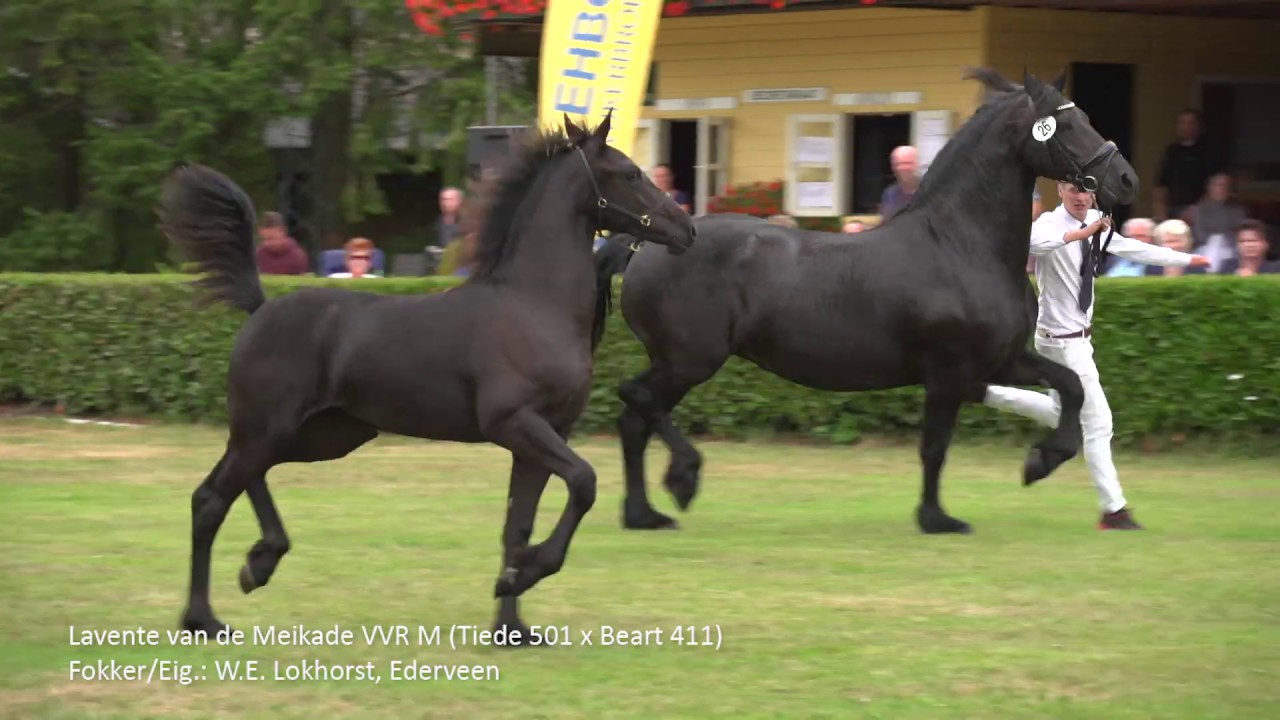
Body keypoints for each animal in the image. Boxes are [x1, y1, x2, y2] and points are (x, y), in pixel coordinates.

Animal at [158, 112, 697, 643]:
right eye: (630, 173)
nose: (687, 228)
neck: (533, 305)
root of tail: (260, 309)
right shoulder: (516, 424)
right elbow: (583, 483)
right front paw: (523, 573)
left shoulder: (543, 436)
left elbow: (516, 526)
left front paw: (512, 624)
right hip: (271, 428)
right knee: (209, 500)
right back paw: (204, 617)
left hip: (320, 435)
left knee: (246, 478)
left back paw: (260, 561)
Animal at [602, 68, 1136, 535]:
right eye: (1068, 124)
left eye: (1084, 115)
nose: (1127, 179)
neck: (960, 245)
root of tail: (644, 246)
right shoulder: (949, 372)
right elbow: (935, 447)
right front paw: (938, 519)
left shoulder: (998, 362)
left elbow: (1071, 387)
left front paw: (1040, 461)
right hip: (690, 359)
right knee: (636, 399)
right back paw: (681, 479)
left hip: (681, 362)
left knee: (633, 420)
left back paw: (642, 514)